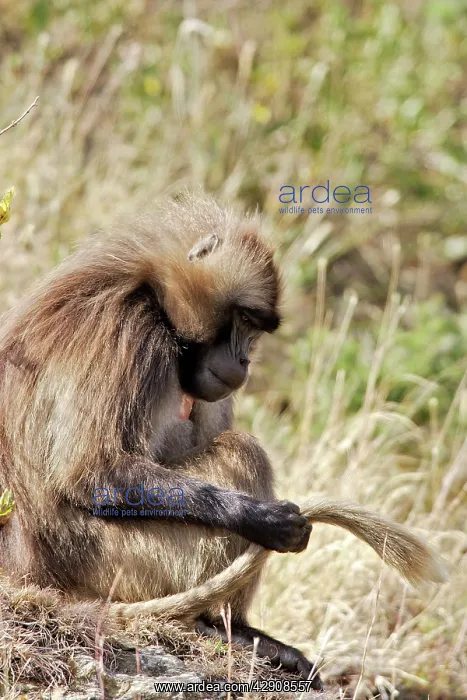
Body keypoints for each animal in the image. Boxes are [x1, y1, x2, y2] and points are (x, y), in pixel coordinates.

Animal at [0, 194, 444, 688]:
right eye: (245, 319)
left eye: (256, 328)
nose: (245, 360)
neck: (154, 296)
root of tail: (25, 569)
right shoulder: (127, 334)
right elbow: (89, 471)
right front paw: (264, 520)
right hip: (114, 560)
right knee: (241, 452)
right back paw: (214, 625)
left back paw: (247, 634)